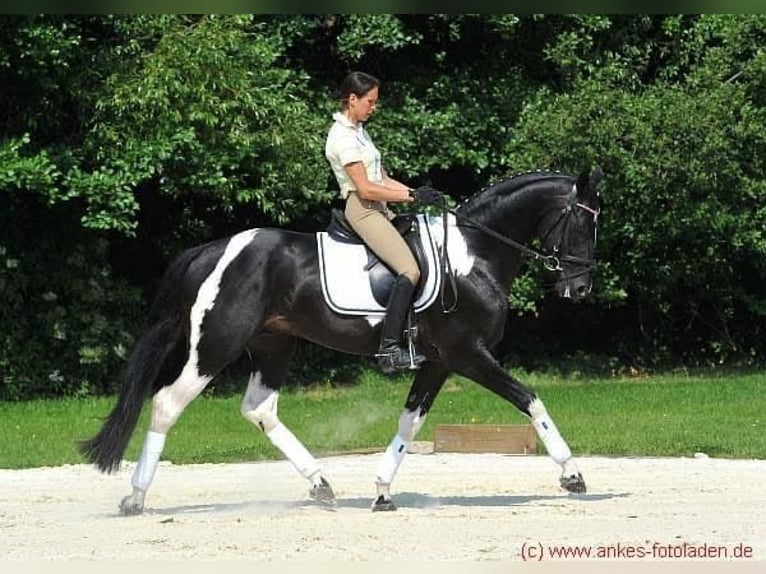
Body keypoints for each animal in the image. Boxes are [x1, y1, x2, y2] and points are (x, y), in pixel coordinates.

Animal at [78, 166, 608, 516]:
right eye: (583, 222)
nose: (579, 288)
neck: (471, 256)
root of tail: (210, 250)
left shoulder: (438, 362)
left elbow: (410, 421)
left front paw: (382, 491)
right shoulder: (468, 354)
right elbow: (529, 399)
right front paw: (572, 474)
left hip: (273, 344)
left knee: (259, 408)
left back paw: (321, 484)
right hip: (215, 345)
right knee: (168, 402)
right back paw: (135, 497)